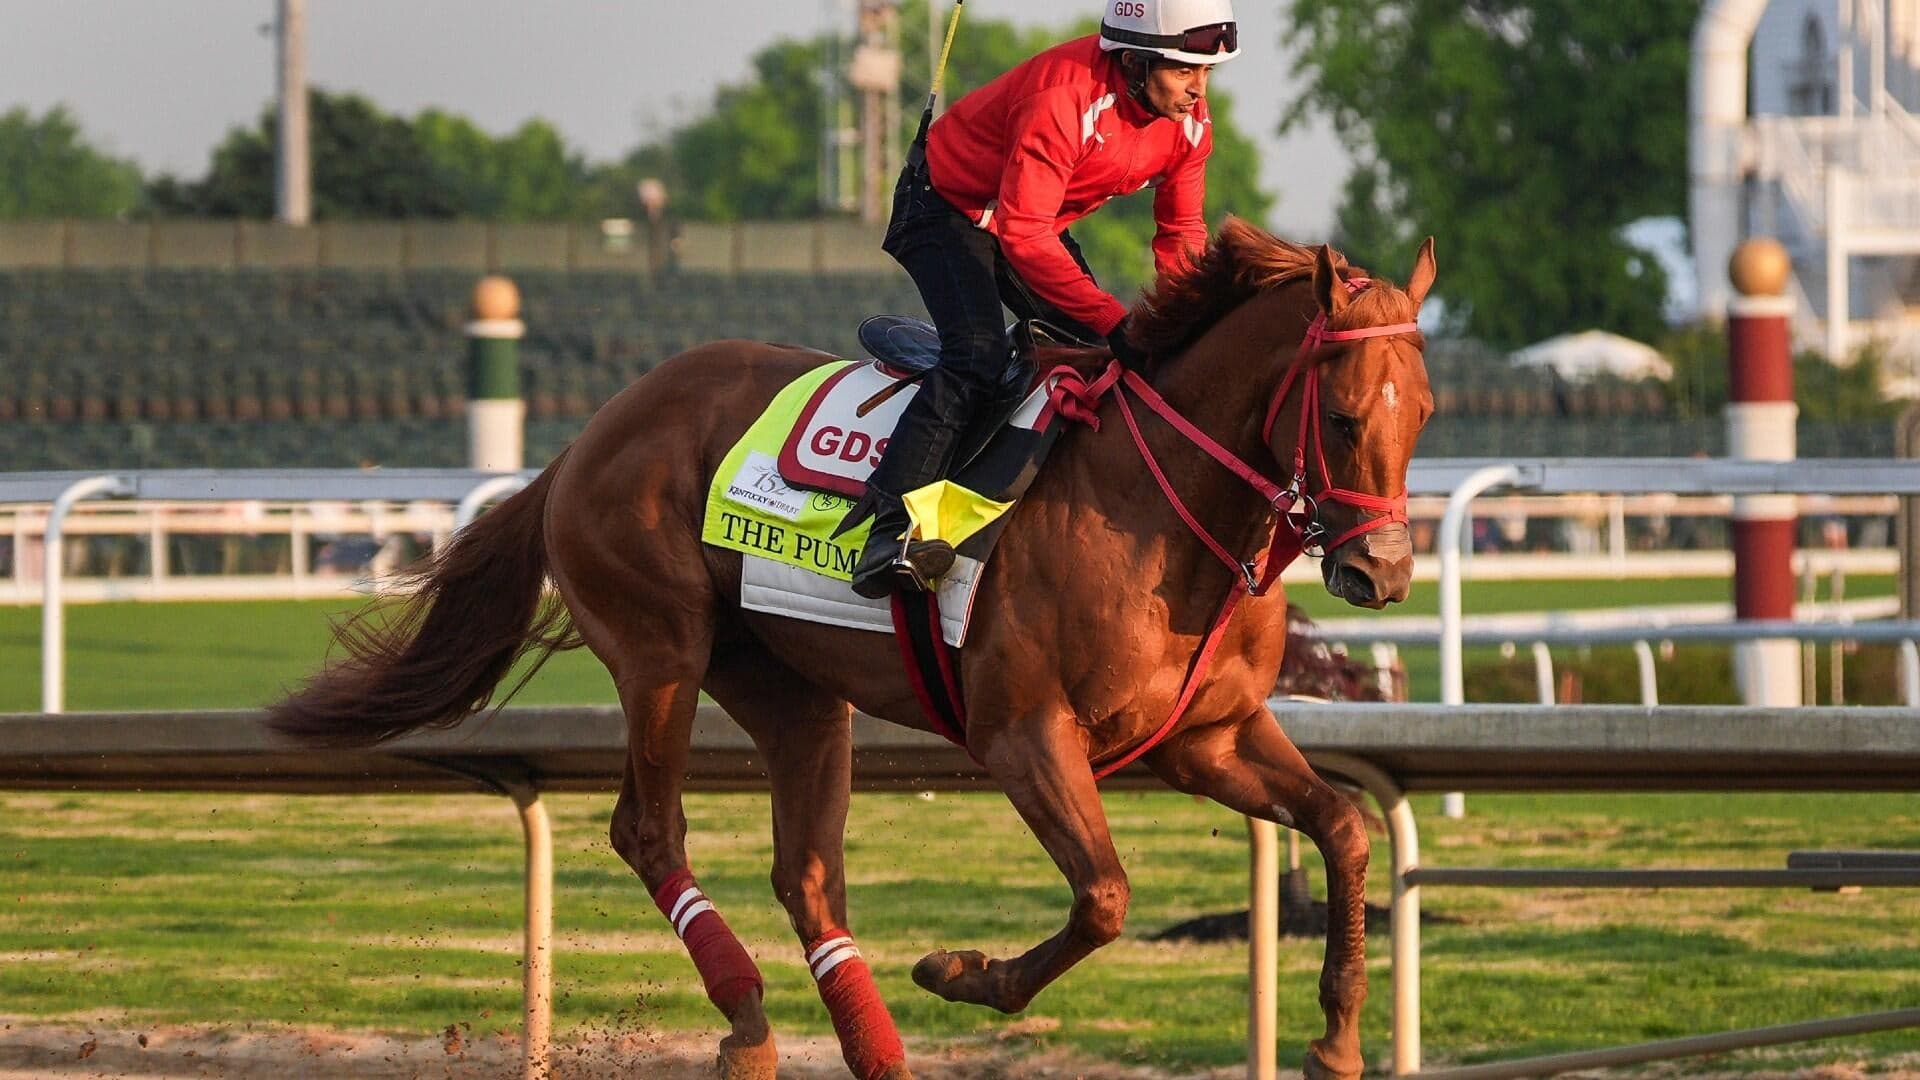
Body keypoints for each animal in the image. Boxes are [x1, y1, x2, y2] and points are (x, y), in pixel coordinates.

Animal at [268, 218, 1435, 1080]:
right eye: (1340, 416)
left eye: (1422, 410)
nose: (1380, 574)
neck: (1159, 510)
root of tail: (587, 436)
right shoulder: (1023, 735)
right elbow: (1104, 897)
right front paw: (963, 973)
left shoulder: (1208, 736)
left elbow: (1344, 828)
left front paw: (1337, 1038)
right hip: (661, 650)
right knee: (650, 828)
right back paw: (746, 1018)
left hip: (792, 692)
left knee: (807, 876)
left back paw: (870, 1050)